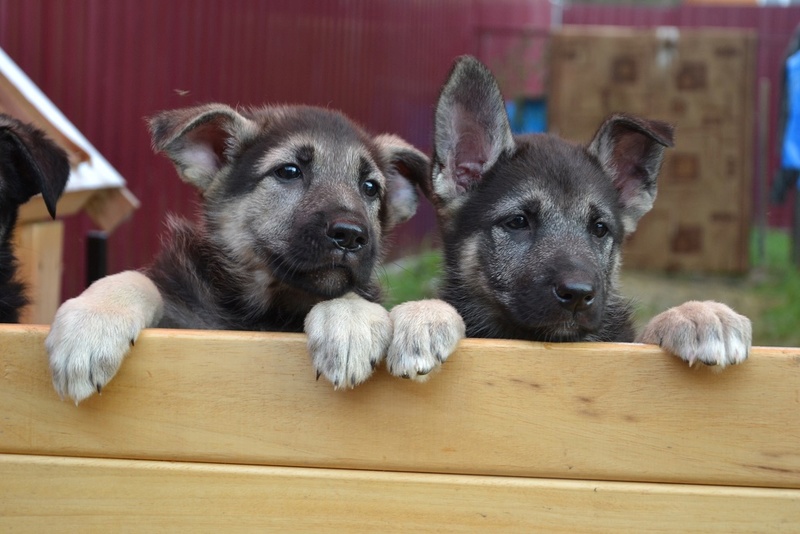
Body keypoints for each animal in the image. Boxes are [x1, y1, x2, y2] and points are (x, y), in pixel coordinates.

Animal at [46, 104, 428, 404]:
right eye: (289, 171)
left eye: (370, 187)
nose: (350, 235)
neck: (264, 312)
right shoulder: (183, 311)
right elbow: (138, 280)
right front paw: (90, 326)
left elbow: (345, 293)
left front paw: (350, 324)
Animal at [386, 55, 752, 382]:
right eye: (518, 222)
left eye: (600, 228)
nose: (578, 294)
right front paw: (421, 316)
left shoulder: (621, 344)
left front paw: (699, 314)